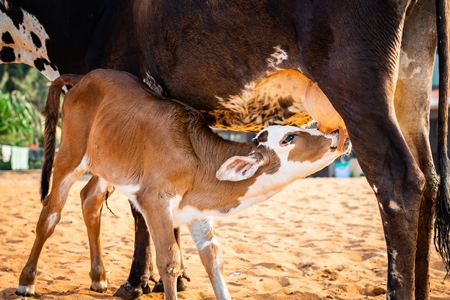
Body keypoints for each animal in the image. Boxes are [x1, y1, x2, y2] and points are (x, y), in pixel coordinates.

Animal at [16, 69, 348, 298]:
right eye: (289, 138)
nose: (335, 135)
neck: (198, 158)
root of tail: (82, 77)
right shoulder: (155, 201)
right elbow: (170, 261)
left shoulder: (197, 213)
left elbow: (213, 259)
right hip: (70, 154)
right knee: (50, 214)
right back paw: (26, 281)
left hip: (107, 166)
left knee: (90, 200)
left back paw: (98, 277)